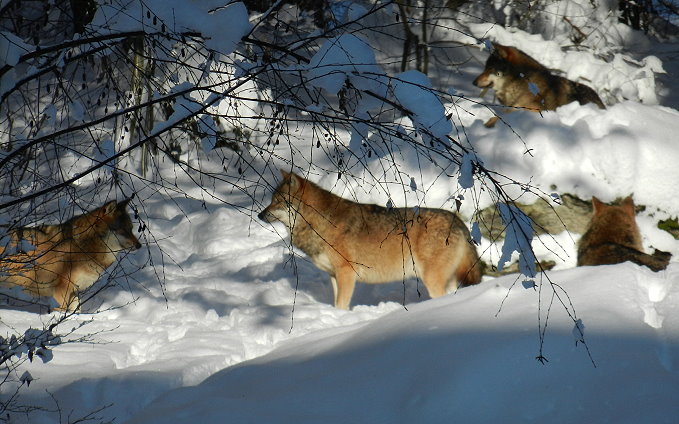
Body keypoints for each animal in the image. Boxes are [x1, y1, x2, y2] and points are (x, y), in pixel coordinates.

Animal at [0, 199, 142, 312]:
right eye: (123, 231)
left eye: (131, 229)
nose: (139, 246)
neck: (84, 247)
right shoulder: (61, 290)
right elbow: (64, 310)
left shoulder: (74, 291)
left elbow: (76, 310)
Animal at [256, 171, 484, 310]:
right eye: (271, 201)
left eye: (277, 202)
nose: (259, 215)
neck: (318, 223)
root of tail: (458, 221)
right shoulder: (334, 275)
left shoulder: (346, 273)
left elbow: (342, 303)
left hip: (432, 280)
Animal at [472, 42, 604, 127]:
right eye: (485, 67)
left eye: (490, 69)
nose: (473, 82)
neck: (519, 82)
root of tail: (601, 102)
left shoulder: (534, 110)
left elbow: (501, 117)